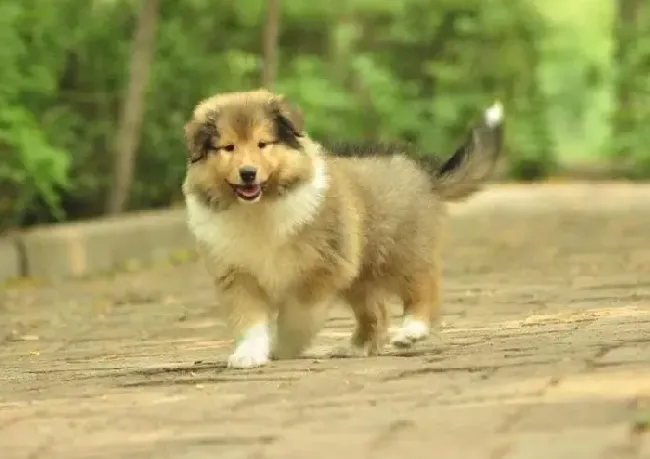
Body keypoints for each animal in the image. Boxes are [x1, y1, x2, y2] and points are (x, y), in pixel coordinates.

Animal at [181, 90, 502, 370]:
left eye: (263, 144)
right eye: (229, 148)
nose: (248, 174)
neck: (259, 207)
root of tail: (425, 175)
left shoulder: (322, 267)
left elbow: (296, 313)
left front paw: (285, 345)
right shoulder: (238, 275)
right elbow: (250, 321)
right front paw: (249, 355)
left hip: (399, 250)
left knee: (425, 285)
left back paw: (412, 330)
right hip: (359, 274)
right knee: (377, 310)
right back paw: (356, 348)